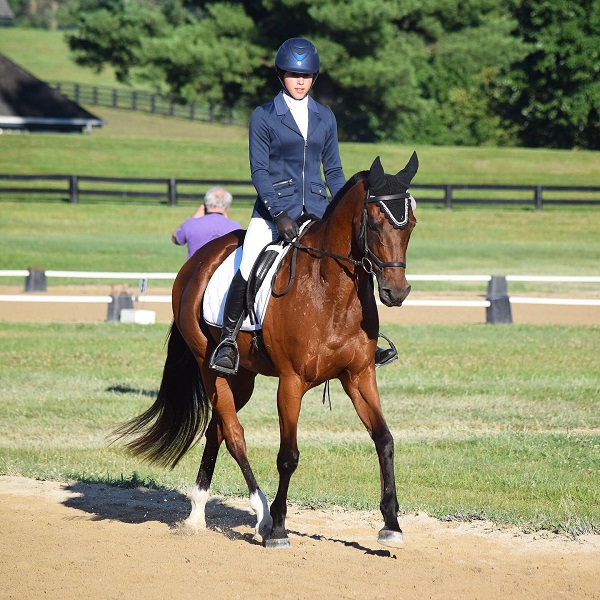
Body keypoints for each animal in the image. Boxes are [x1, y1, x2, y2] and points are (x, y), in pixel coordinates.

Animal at [114, 153, 419, 548]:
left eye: (410, 225)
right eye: (377, 223)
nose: (397, 292)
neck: (331, 292)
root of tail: (198, 260)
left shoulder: (358, 376)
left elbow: (384, 439)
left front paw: (391, 524)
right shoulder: (291, 382)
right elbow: (288, 455)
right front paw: (277, 529)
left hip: (241, 378)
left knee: (217, 429)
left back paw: (198, 512)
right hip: (210, 368)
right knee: (234, 434)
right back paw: (260, 513)